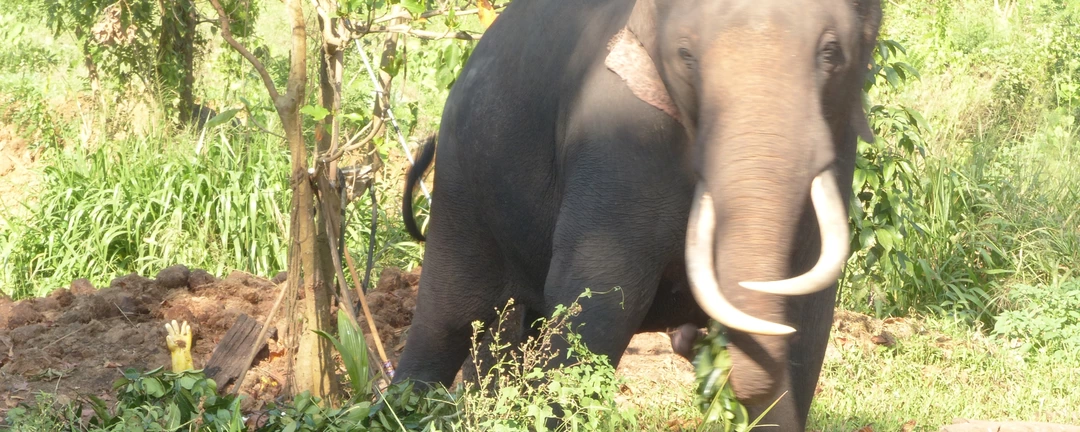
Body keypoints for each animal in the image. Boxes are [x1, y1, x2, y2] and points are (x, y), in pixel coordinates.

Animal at [394, 0, 882, 429]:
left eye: (830, 52)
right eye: (686, 56)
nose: (696, 338)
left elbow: (806, 322)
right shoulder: (617, 138)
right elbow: (599, 301)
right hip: (462, 183)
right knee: (447, 320)